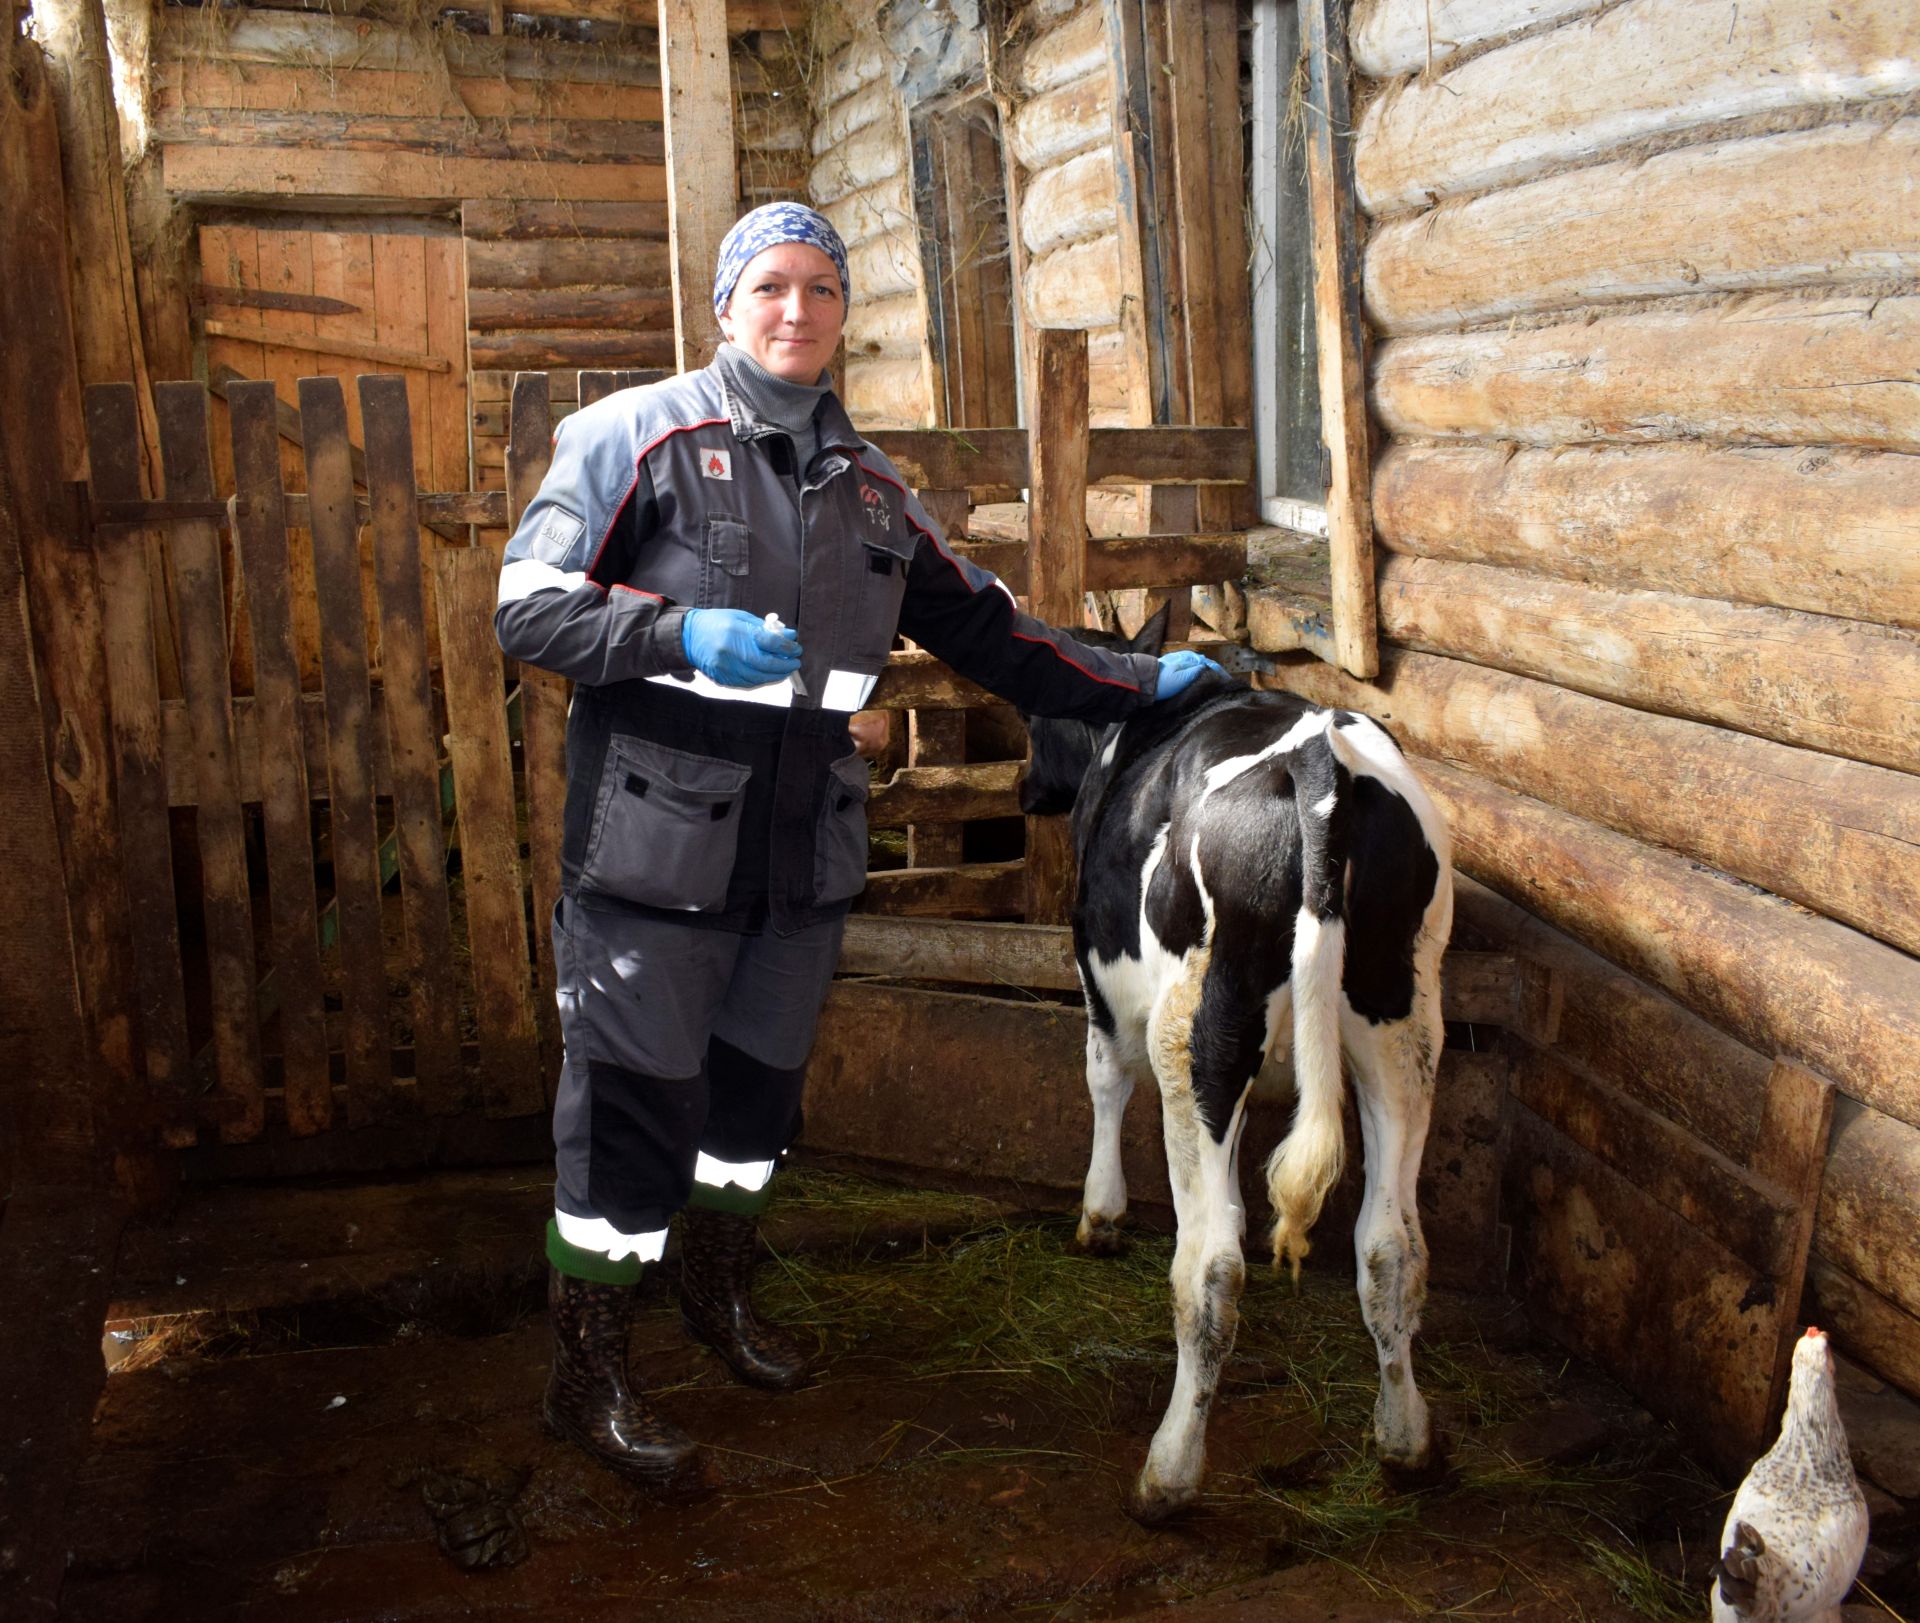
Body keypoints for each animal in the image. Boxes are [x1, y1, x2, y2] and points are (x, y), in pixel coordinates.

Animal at [1021, 610, 1451, 1521]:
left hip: (1195, 1028)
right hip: (1404, 1021)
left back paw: (1169, 1471)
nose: (1025, 791)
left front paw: (1099, 1217)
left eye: (1039, 722)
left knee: (1211, 1265)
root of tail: (1321, 765)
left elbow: (1102, 1080)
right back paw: (1405, 1440)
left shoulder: (1099, 978)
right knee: (1390, 1246)